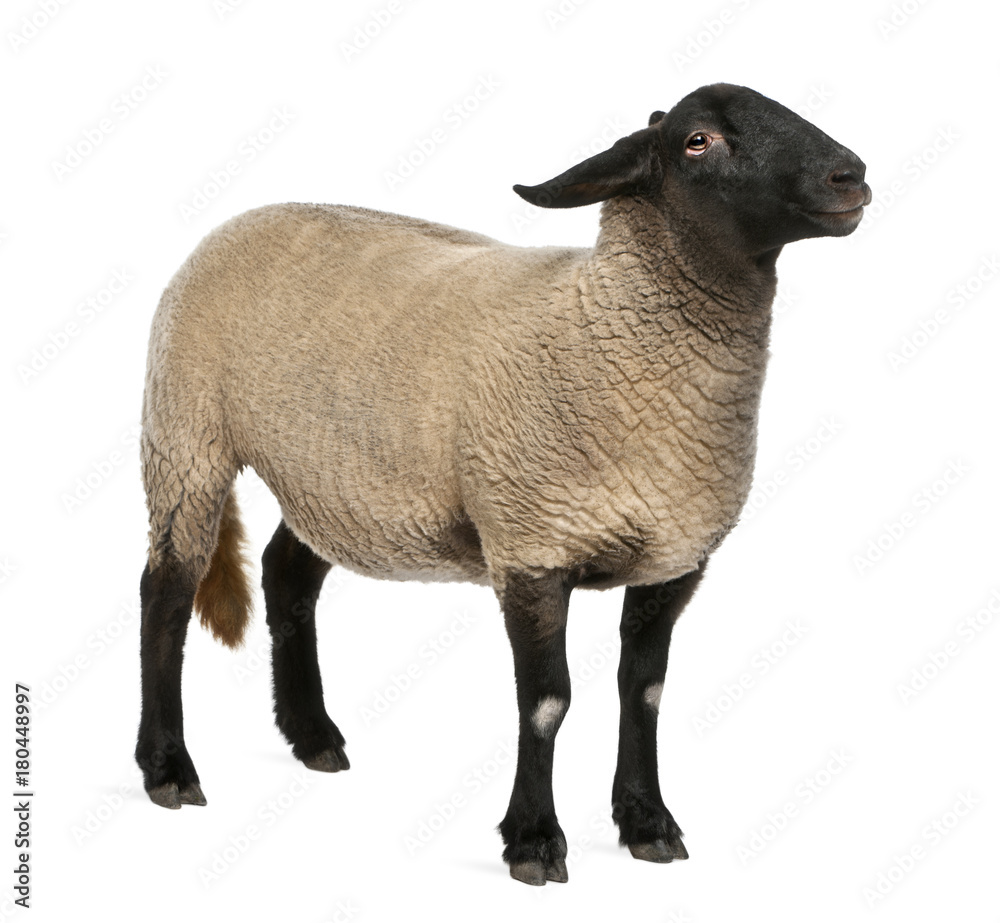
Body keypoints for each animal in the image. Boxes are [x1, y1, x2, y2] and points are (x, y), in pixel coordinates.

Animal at [135, 82, 869, 885]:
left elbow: (643, 693)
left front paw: (647, 821)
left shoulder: (673, 559)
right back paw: (167, 768)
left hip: (329, 479)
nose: (851, 176)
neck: (604, 327)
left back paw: (313, 736)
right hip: (186, 436)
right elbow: (547, 701)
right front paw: (535, 840)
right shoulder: (530, 546)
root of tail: (243, 217)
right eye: (698, 141)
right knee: (165, 594)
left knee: (286, 574)